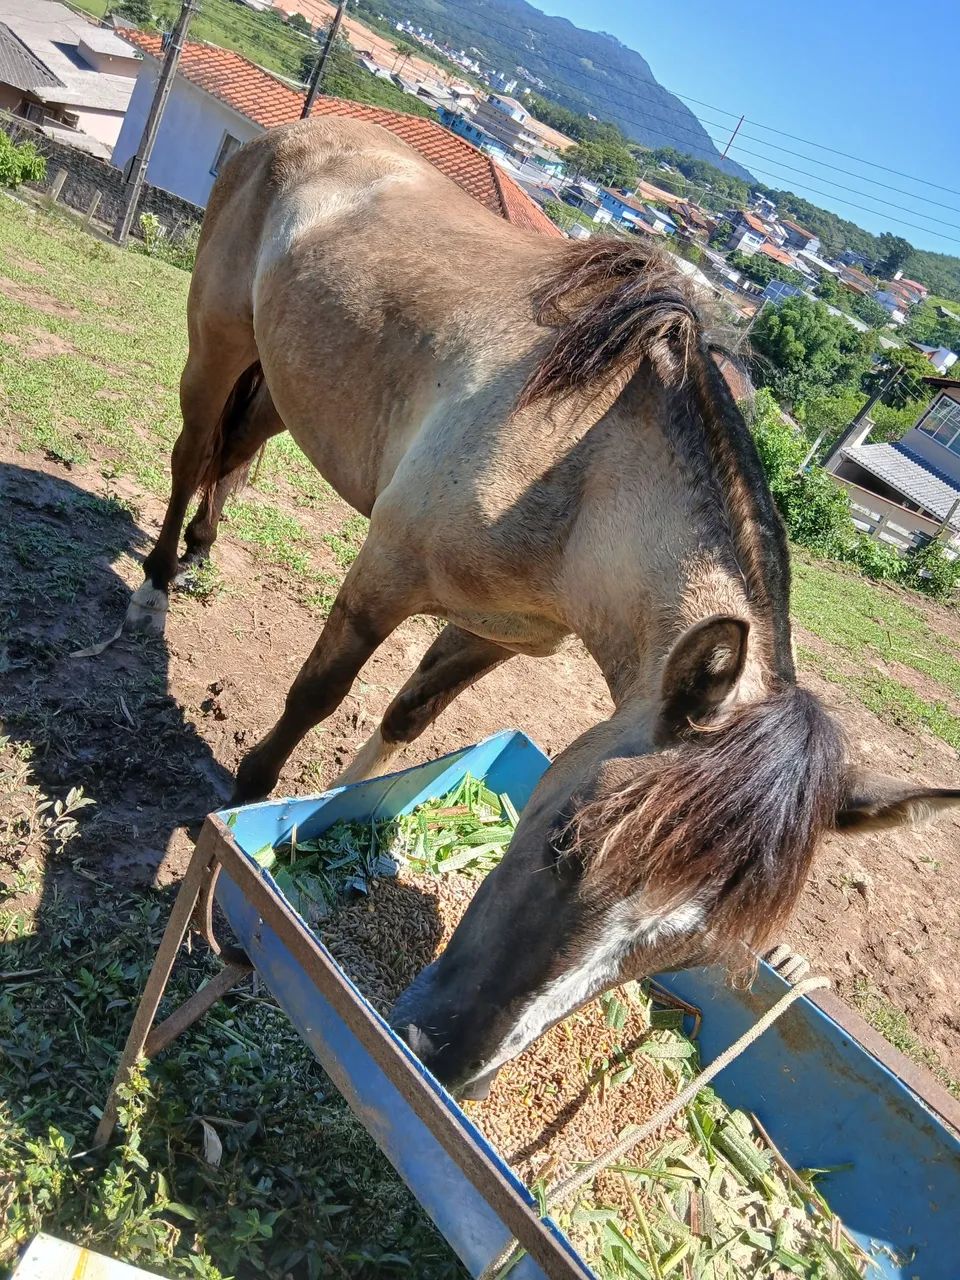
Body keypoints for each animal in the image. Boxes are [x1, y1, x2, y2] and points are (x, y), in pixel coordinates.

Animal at [128, 118, 960, 1098]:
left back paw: (201, 554)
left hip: (286, 377)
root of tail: (297, 131)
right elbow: (314, 699)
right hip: (216, 345)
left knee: (235, 453)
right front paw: (237, 817)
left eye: (681, 955)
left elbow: (406, 721)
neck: (579, 465)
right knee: (192, 456)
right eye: (569, 838)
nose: (444, 1060)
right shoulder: (383, 577)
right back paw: (153, 589)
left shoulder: (499, 634)